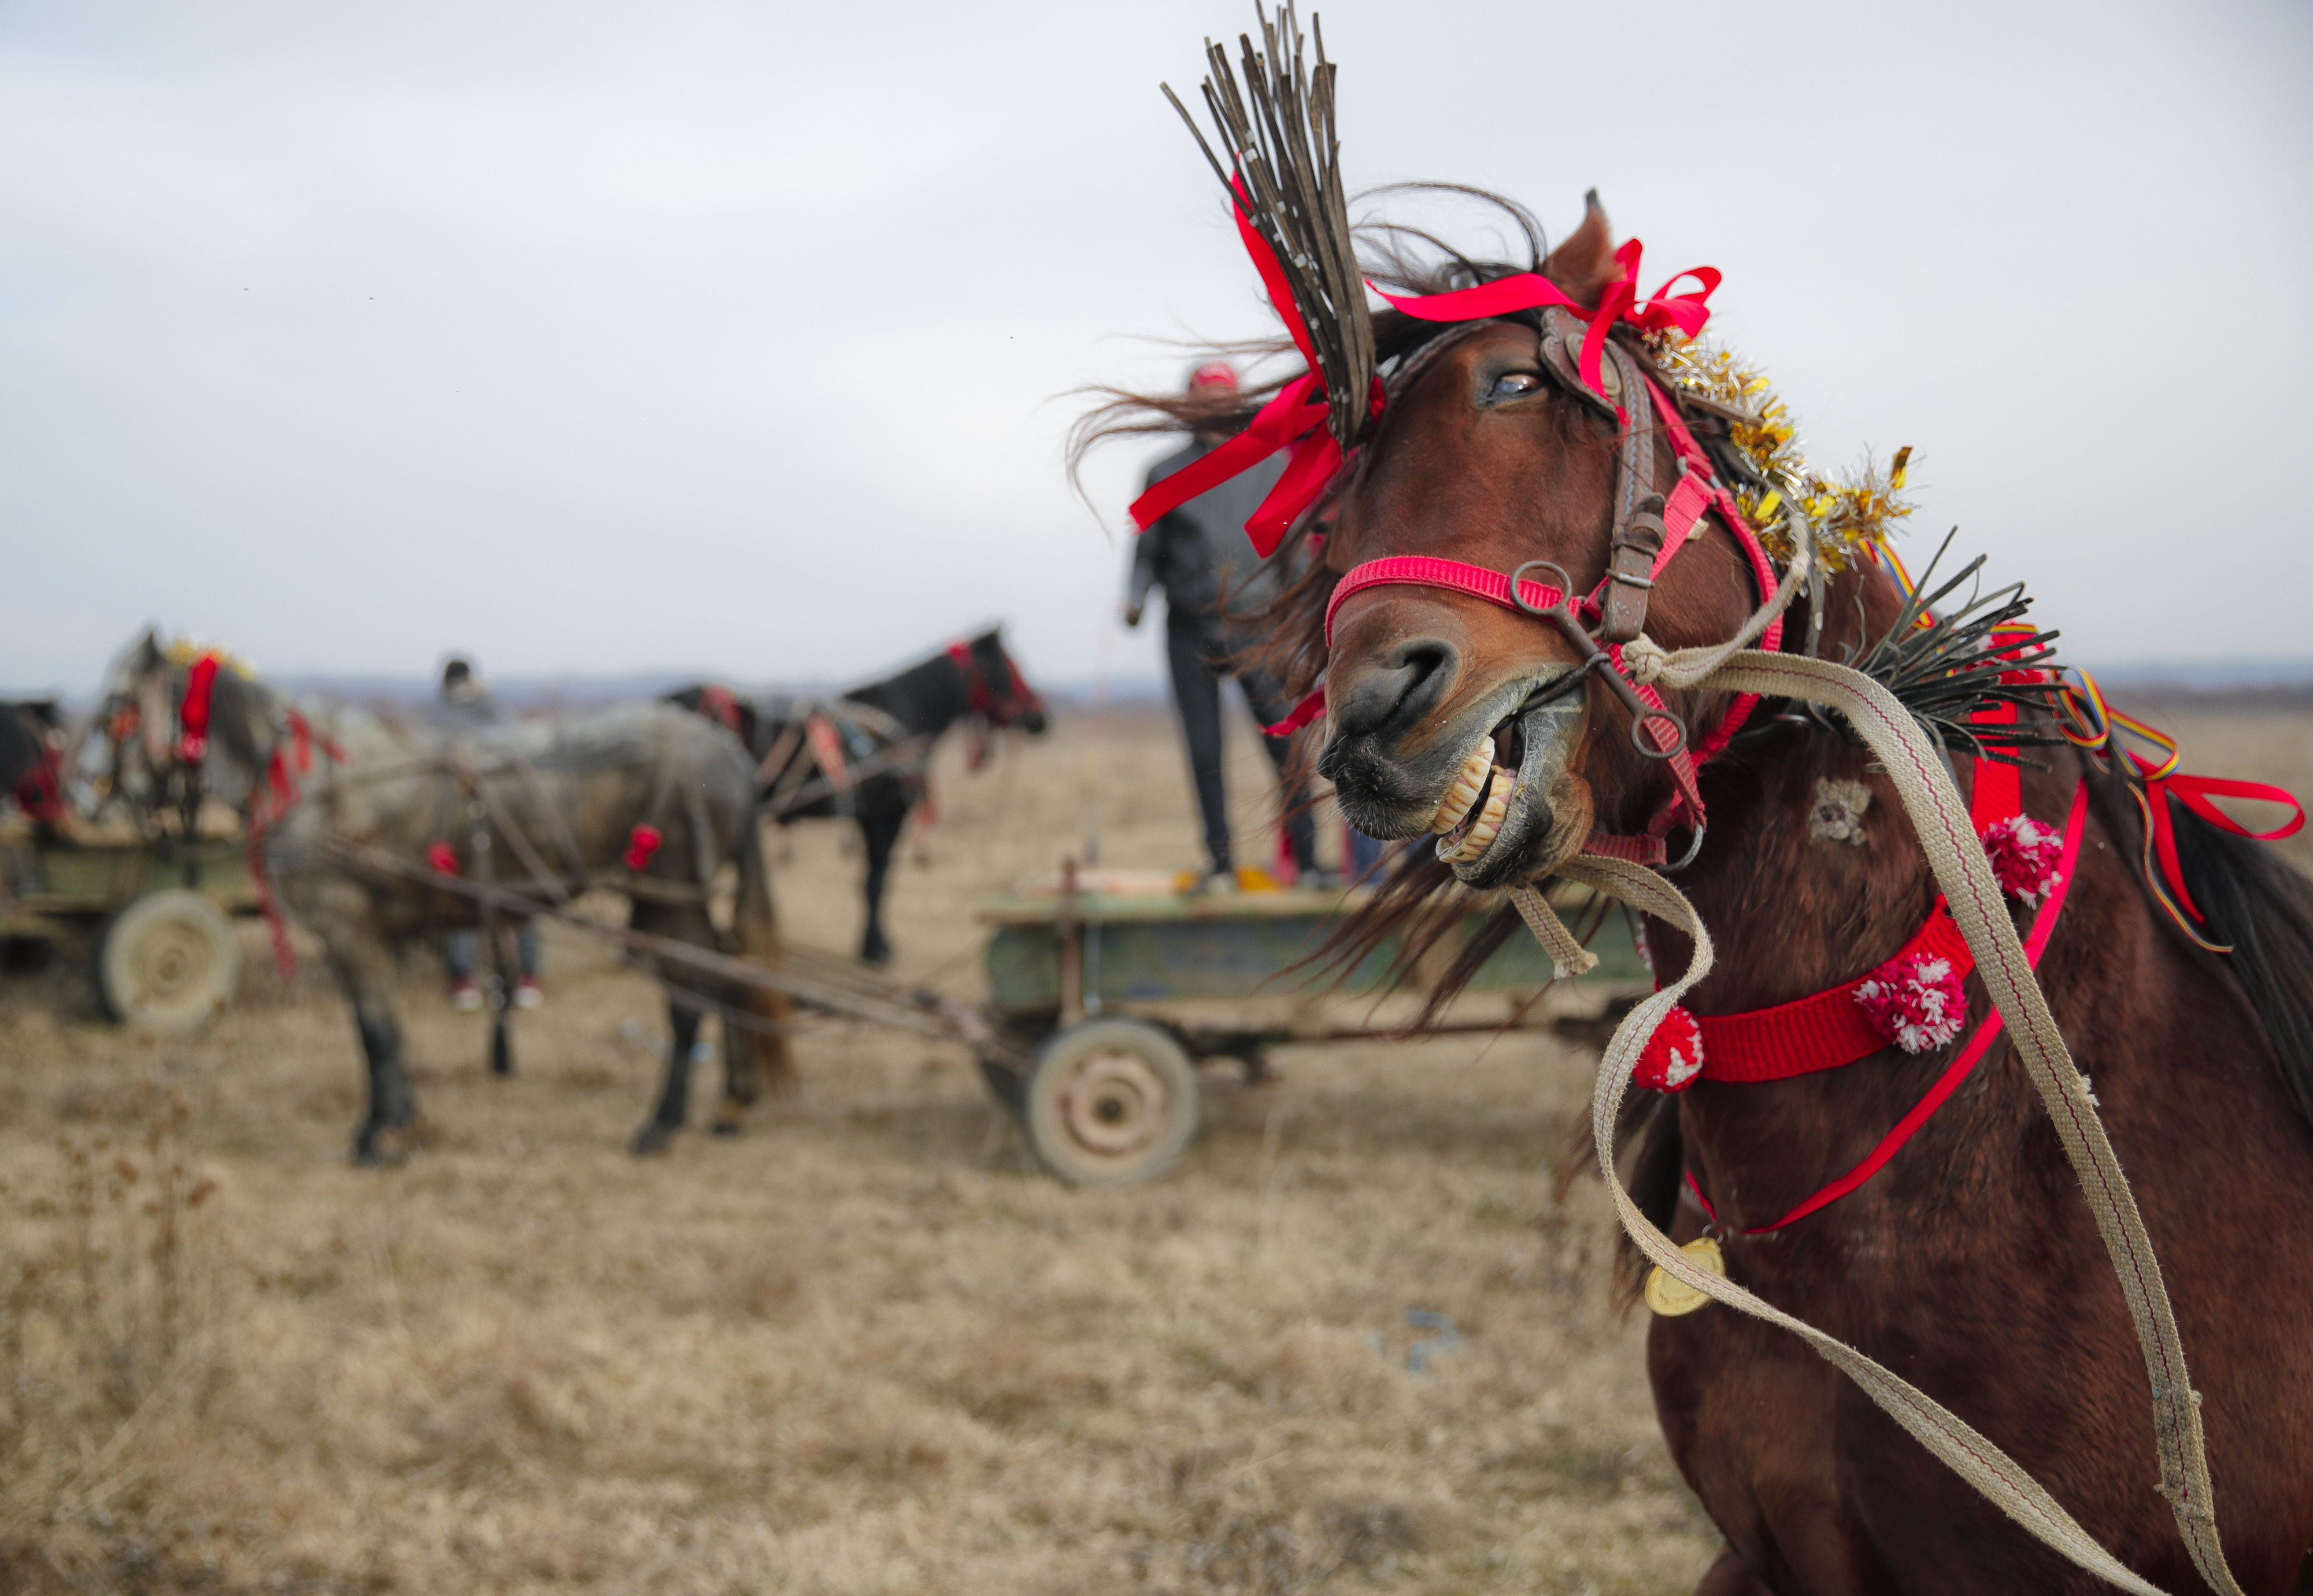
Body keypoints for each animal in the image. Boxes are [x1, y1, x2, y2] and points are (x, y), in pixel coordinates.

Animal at [93, 631, 792, 1161]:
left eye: (118, 704)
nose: (92, 795)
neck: (309, 777)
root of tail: (726, 750)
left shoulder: (347, 926)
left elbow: (377, 1032)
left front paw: (380, 1136)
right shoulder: (358, 936)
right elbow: (376, 1031)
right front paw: (396, 1123)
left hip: (671, 895)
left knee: (692, 998)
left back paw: (660, 1125)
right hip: (669, 900)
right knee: (726, 976)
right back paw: (731, 1102)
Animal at [668, 625, 1048, 964]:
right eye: (1008, 667)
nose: (1040, 718)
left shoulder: (868, 818)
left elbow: (869, 882)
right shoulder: (888, 817)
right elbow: (877, 882)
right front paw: (876, 949)